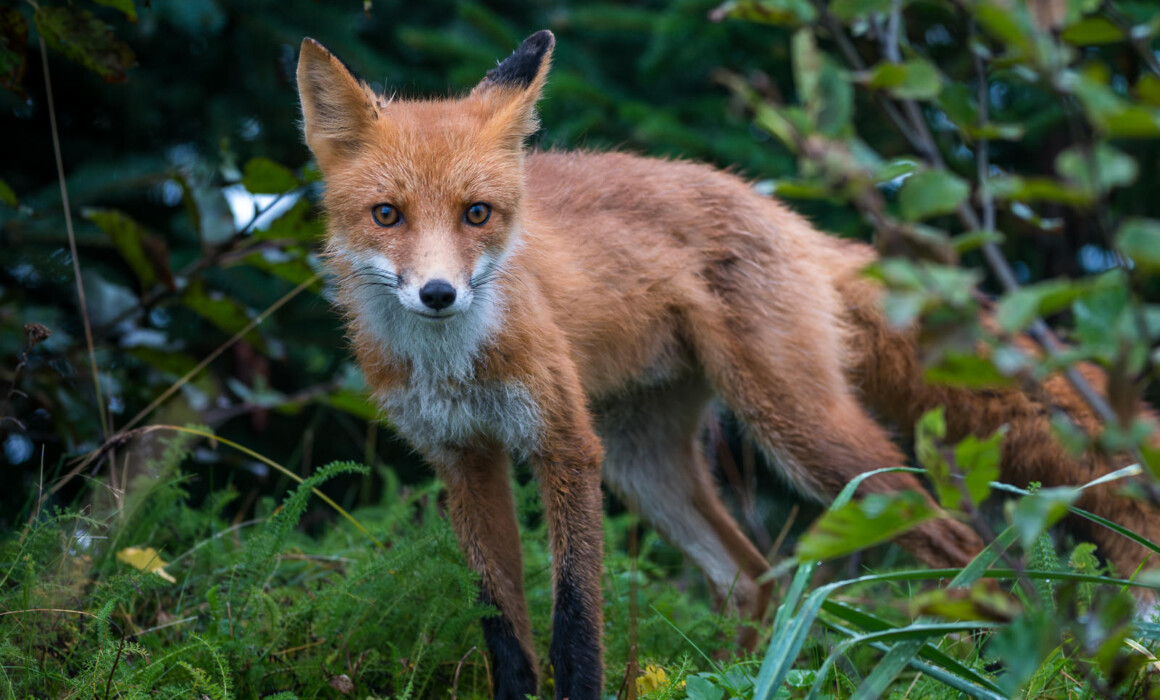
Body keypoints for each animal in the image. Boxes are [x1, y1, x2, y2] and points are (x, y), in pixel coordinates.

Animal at [296, 30, 1160, 700]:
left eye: (477, 214)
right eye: (386, 216)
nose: (439, 294)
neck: (453, 363)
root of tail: (777, 207)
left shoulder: (564, 445)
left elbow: (575, 619)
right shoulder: (462, 458)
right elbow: (503, 630)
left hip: (799, 432)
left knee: (951, 543)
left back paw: (955, 660)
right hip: (646, 463)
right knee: (754, 577)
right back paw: (742, 677)